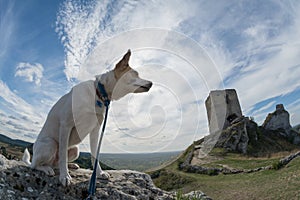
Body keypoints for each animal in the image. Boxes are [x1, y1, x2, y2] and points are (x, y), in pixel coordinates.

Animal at [22, 50, 152, 186]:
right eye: (135, 74)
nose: (151, 83)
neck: (98, 94)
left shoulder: (95, 130)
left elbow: (94, 155)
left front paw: (99, 173)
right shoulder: (66, 125)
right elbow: (63, 155)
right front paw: (65, 176)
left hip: (75, 150)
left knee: (56, 163)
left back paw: (71, 165)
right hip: (50, 144)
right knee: (36, 165)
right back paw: (47, 168)